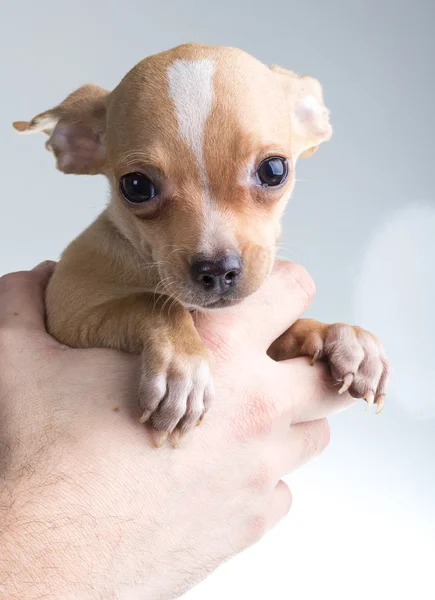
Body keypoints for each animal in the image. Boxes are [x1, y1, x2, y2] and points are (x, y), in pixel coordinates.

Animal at [13, 43, 390, 446]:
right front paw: (183, 371)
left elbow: (290, 331)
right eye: (136, 186)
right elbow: (153, 304)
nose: (218, 270)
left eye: (274, 170)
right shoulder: (70, 313)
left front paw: (343, 336)